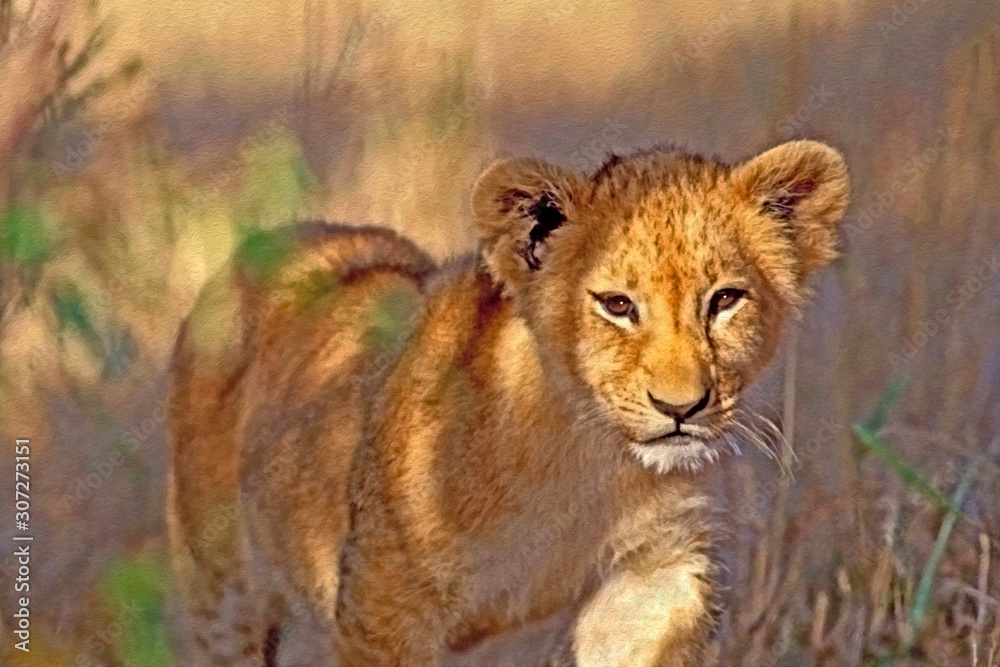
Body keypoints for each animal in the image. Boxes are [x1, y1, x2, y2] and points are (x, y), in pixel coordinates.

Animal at [166, 139, 849, 666]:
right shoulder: (385, 603)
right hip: (223, 588)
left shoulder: (656, 574)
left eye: (725, 300)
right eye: (617, 305)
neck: (588, 461)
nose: (681, 408)